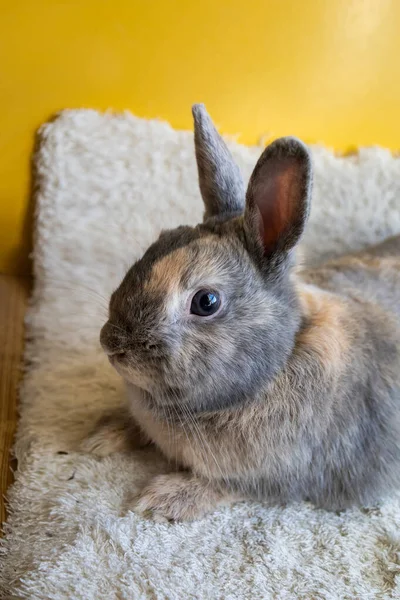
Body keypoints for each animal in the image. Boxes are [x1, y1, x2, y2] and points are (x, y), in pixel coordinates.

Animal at [82, 103, 400, 520]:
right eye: (158, 242)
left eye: (206, 302)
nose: (111, 343)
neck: (278, 362)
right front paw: (101, 437)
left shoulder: (275, 479)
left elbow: (224, 487)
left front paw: (161, 498)